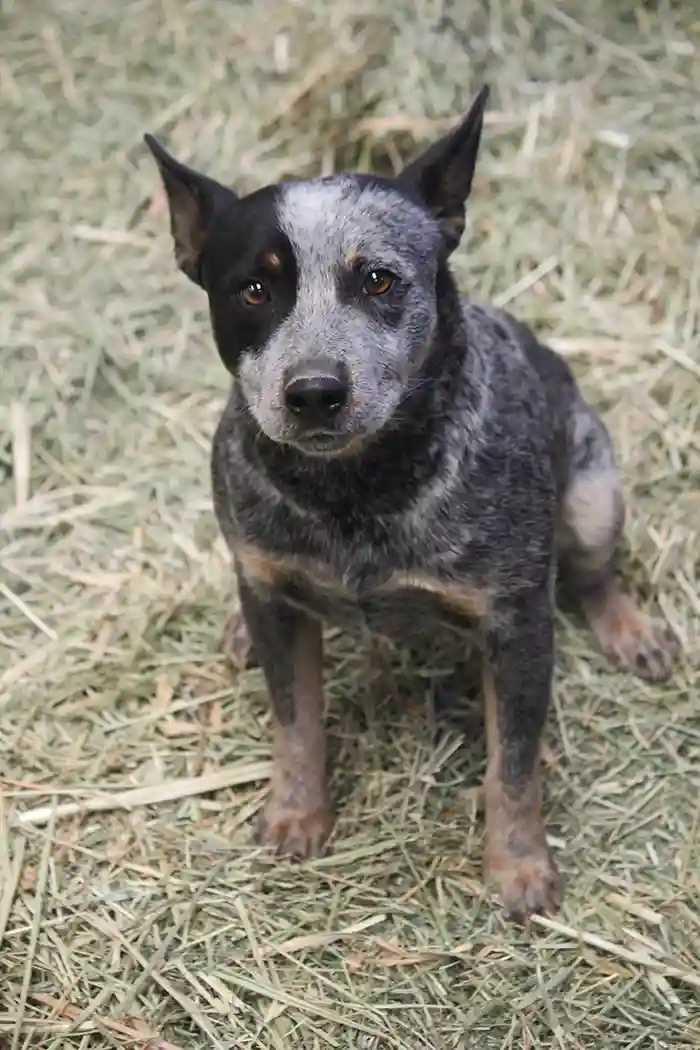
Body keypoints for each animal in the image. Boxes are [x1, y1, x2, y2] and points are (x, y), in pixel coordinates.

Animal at [146, 88, 680, 928]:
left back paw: (631, 630)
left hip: (595, 493)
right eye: (254, 290)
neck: (355, 493)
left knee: (593, 574)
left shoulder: (517, 625)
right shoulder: (273, 592)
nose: (314, 392)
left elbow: (513, 765)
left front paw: (519, 866)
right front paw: (296, 814)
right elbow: (296, 722)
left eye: (378, 279)